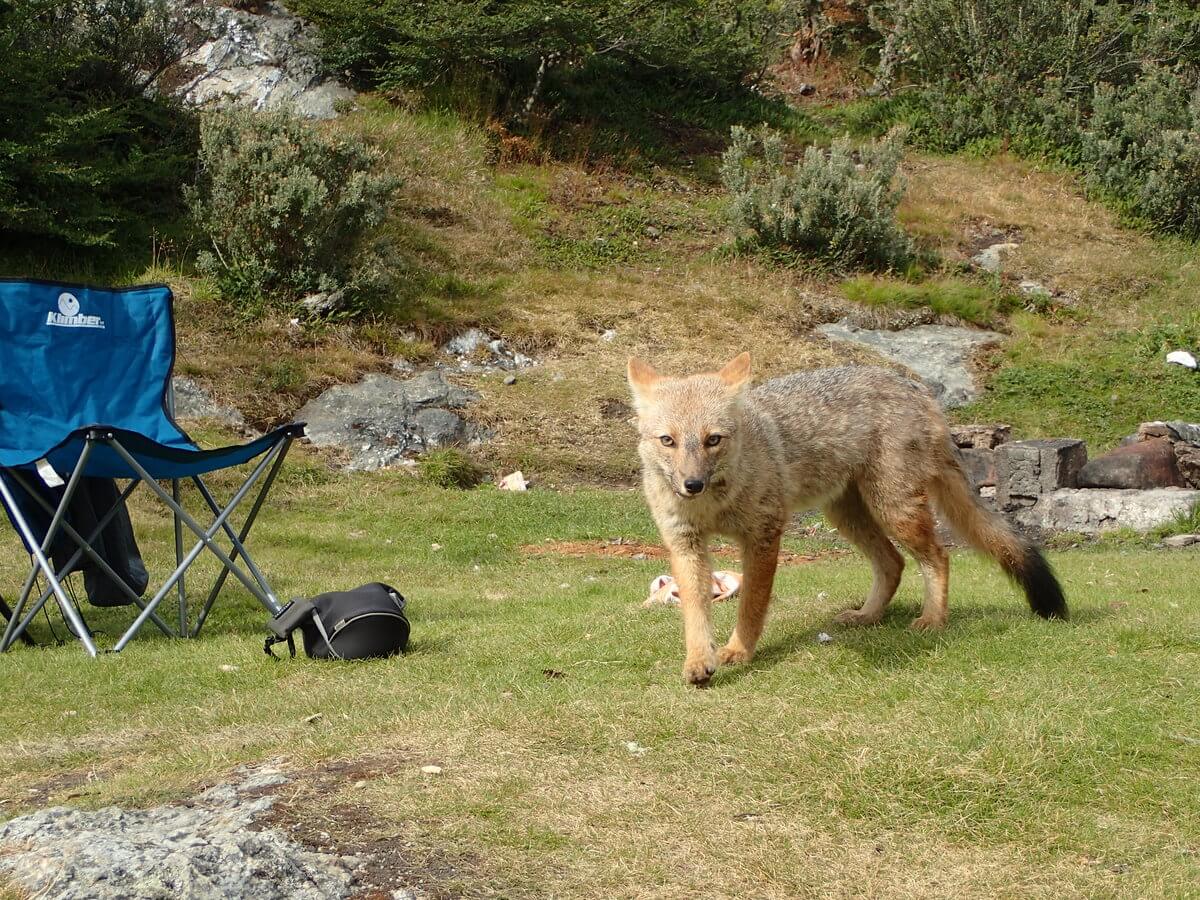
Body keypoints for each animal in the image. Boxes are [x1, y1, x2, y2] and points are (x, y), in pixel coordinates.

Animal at [628, 355, 1070, 686]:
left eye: (713, 440)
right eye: (668, 441)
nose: (692, 484)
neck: (713, 505)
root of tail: (914, 386)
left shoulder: (763, 536)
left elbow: (751, 607)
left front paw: (738, 651)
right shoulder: (685, 544)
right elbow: (695, 611)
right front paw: (699, 661)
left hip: (894, 509)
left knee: (938, 556)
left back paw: (932, 619)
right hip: (847, 515)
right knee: (894, 563)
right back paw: (868, 616)